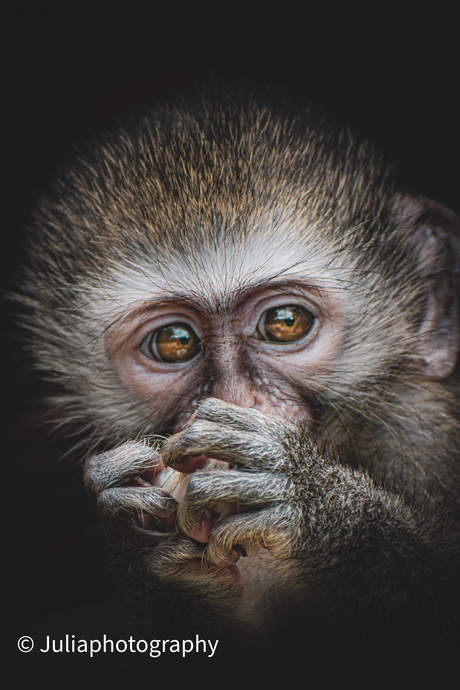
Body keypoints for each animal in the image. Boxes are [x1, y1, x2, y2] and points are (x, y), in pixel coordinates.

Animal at [18, 89, 460, 678]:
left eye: (285, 323)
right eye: (175, 341)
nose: (234, 401)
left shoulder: (421, 429)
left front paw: (311, 504)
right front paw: (136, 535)